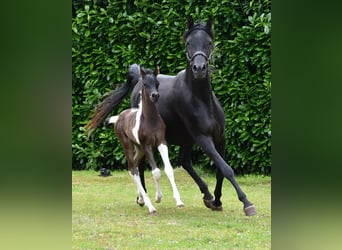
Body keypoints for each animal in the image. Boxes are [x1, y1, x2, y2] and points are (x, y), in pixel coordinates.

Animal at [107, 66, 184, 213]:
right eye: (145, 84)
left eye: (157, 83)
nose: (155, 95)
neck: (150, 120)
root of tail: (119, 117)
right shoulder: (147, 145)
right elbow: (156, 171)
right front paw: (158, 198)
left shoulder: (161, 142)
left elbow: (168, 169)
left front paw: (179, 201)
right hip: (128, 146)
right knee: (133, 168)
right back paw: (150, 206)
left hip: (139, 149)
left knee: (134, 167)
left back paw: (142, 199)